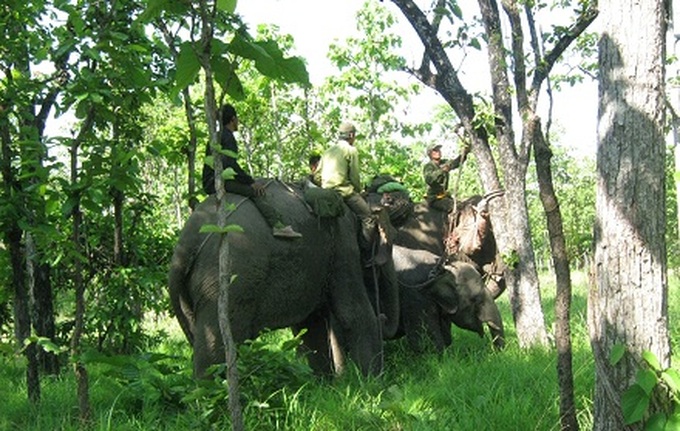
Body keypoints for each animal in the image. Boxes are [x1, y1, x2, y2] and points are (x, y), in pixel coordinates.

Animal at [168, 180, 399, 378]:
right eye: (384, 236)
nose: (383, 317)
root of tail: (184, 246)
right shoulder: (343, 244)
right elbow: (353, 312)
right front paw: (373, 384)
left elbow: (311, 325)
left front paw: (325, 386)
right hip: (228, 280)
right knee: (218, 347)